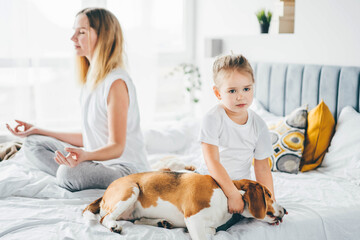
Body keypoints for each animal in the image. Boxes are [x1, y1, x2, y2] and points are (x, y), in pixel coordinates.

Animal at [82, 172, 286, 239]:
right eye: (269, 195)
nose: (285, 211)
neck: (226, 196)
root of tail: (105, 193)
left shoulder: (205, 225)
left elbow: (211, 230)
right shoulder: (193, 217)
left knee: (137, 221)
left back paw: (162, 223)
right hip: (131, 189)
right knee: (104, 218)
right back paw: (114, 226)